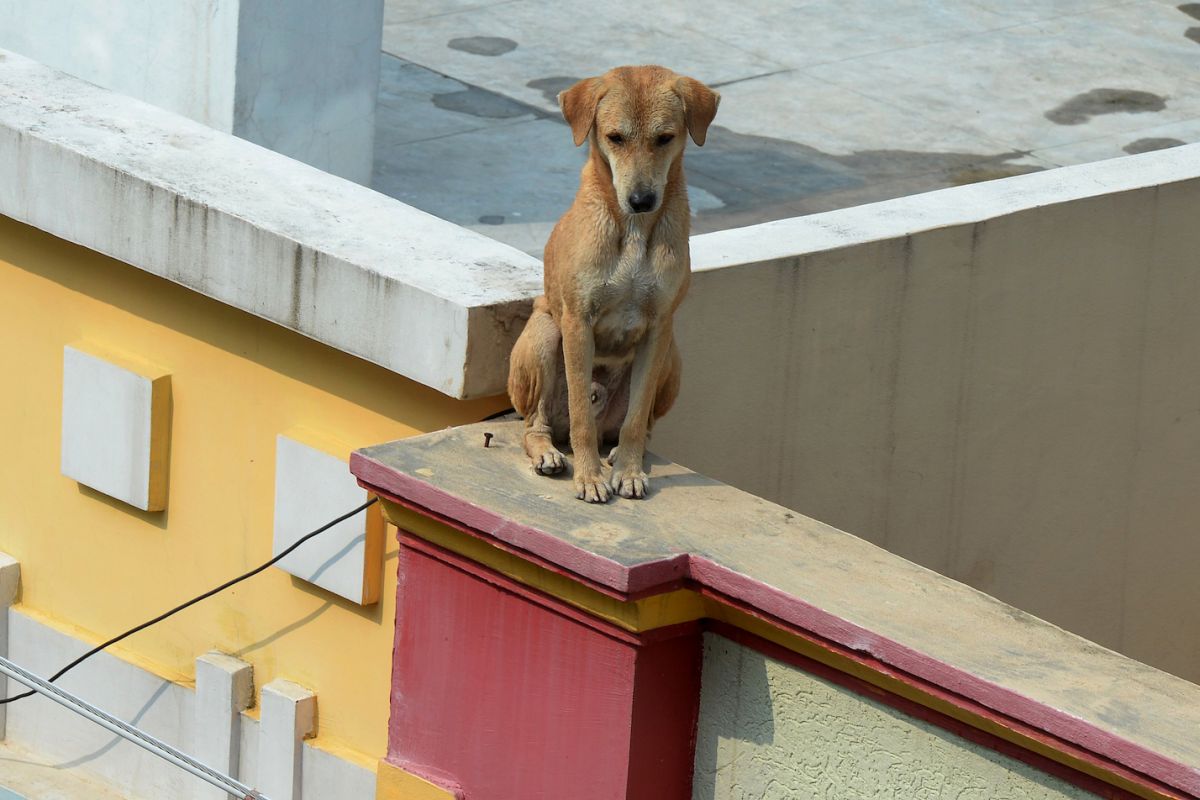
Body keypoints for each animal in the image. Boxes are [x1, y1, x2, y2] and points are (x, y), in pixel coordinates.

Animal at [504, 64, 715, 501]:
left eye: (665, 138)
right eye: (615, 137)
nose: (641, 200)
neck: (632, 230)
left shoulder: (658, 328)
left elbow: (635, 420)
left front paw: (628, 471)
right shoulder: (577, 321)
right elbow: (582, 417)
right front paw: (589, 477)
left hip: (672, 354)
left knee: (637, 426)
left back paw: (620, 454)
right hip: (544, 334)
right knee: (537, 424)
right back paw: (549, 453)